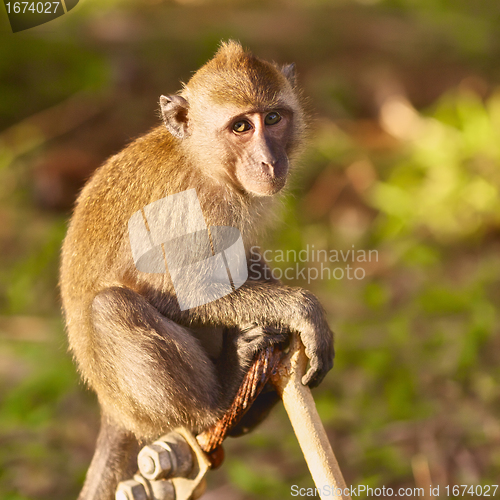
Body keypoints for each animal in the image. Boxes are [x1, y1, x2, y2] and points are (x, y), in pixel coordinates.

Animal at [60, 42, 334, 500]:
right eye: (241, 126)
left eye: (273, 118)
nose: (269, 161)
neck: (203, 162)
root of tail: (109, 407)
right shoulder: (194, 206)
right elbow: (178, 290)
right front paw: (301, 309)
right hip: (138, 406)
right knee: (111, 306)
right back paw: (221, 397)